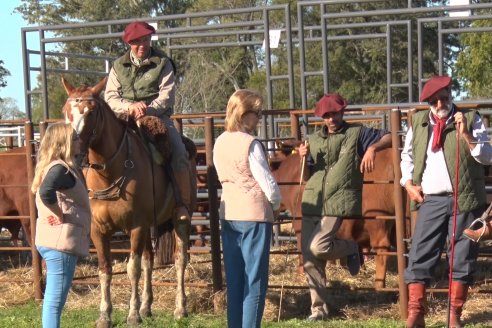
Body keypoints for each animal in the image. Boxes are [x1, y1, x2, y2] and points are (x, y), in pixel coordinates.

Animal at [63, 78, 196, 326]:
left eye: (91, 112)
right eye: (66, 111)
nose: (73, 153)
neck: (110, 173)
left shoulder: (136, 226)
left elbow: (132, 268)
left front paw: (133, 314)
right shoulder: (99, 230)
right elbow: (105, 269)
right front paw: (105, 315)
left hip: (181, 218)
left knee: (180, 258)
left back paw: (180, 308)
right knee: (149, 260)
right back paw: (147, 307)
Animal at [270, 145, 398, 288]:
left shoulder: (300, 227)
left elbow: (301, 252)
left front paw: (301, 274)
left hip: (378, 222)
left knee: (382, 250)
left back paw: (379, 285)